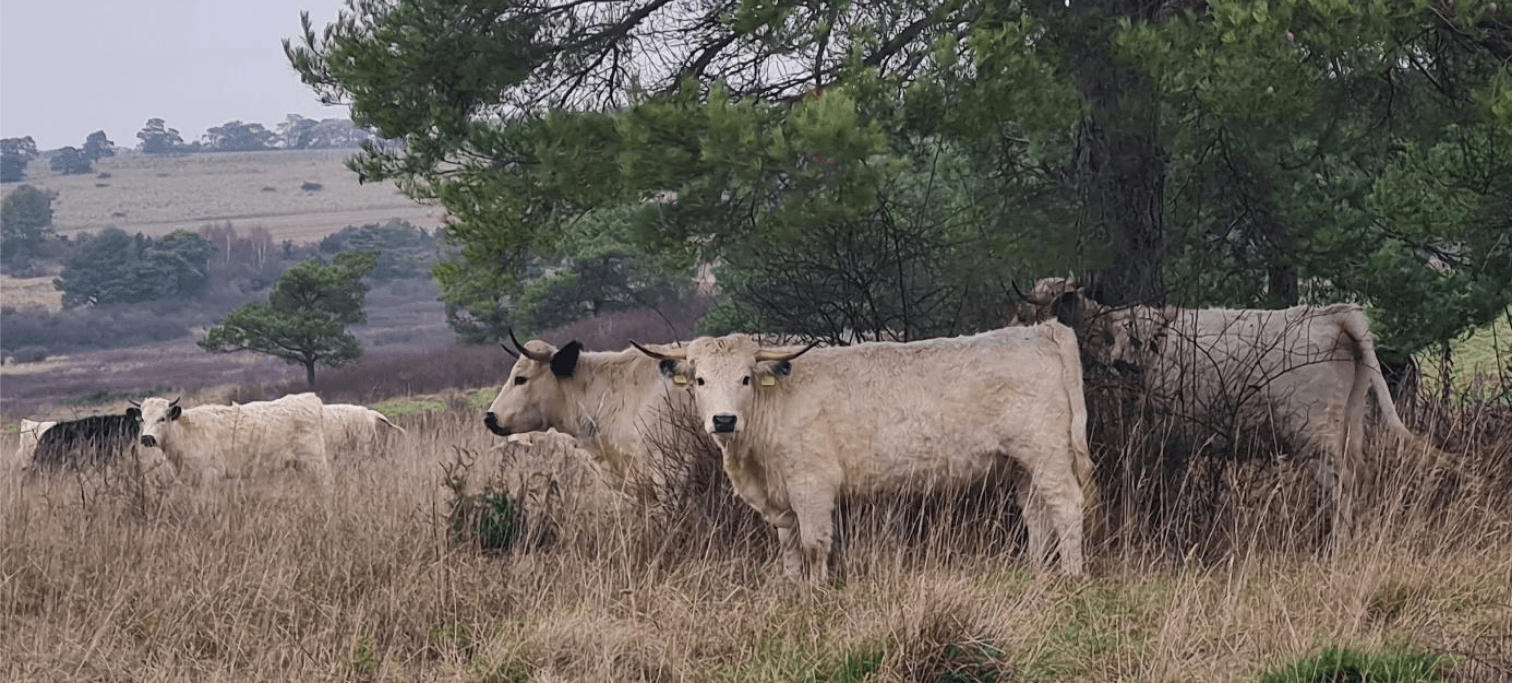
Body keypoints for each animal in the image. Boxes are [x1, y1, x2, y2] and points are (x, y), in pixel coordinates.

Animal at [137, 393, 332, 491]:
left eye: (162, 418)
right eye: (143, 419)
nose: (147, 438)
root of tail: (309, 398)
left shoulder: (209, 475)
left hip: (315, 462)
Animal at [632, 321, 1097, 582]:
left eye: (746, 378)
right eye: (700, 380)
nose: (724, 420)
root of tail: (1039, 330)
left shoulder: (812, 486)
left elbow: (814, 543)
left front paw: (818, 590)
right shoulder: (781, 499)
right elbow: (789, 547)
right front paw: (791, 588)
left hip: (1047, 452)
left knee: (1067, 506)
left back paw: (1073, 575)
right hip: (1022, 464)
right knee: (1037, 514)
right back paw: (1036, 572)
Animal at [1015, 274, 1447, 541]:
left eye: (1033, 311)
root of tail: (1334, 314)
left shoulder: (1155, 433)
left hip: (1315, 432)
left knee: (1342, 485)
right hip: (1350, 423)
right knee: (1360, 477)